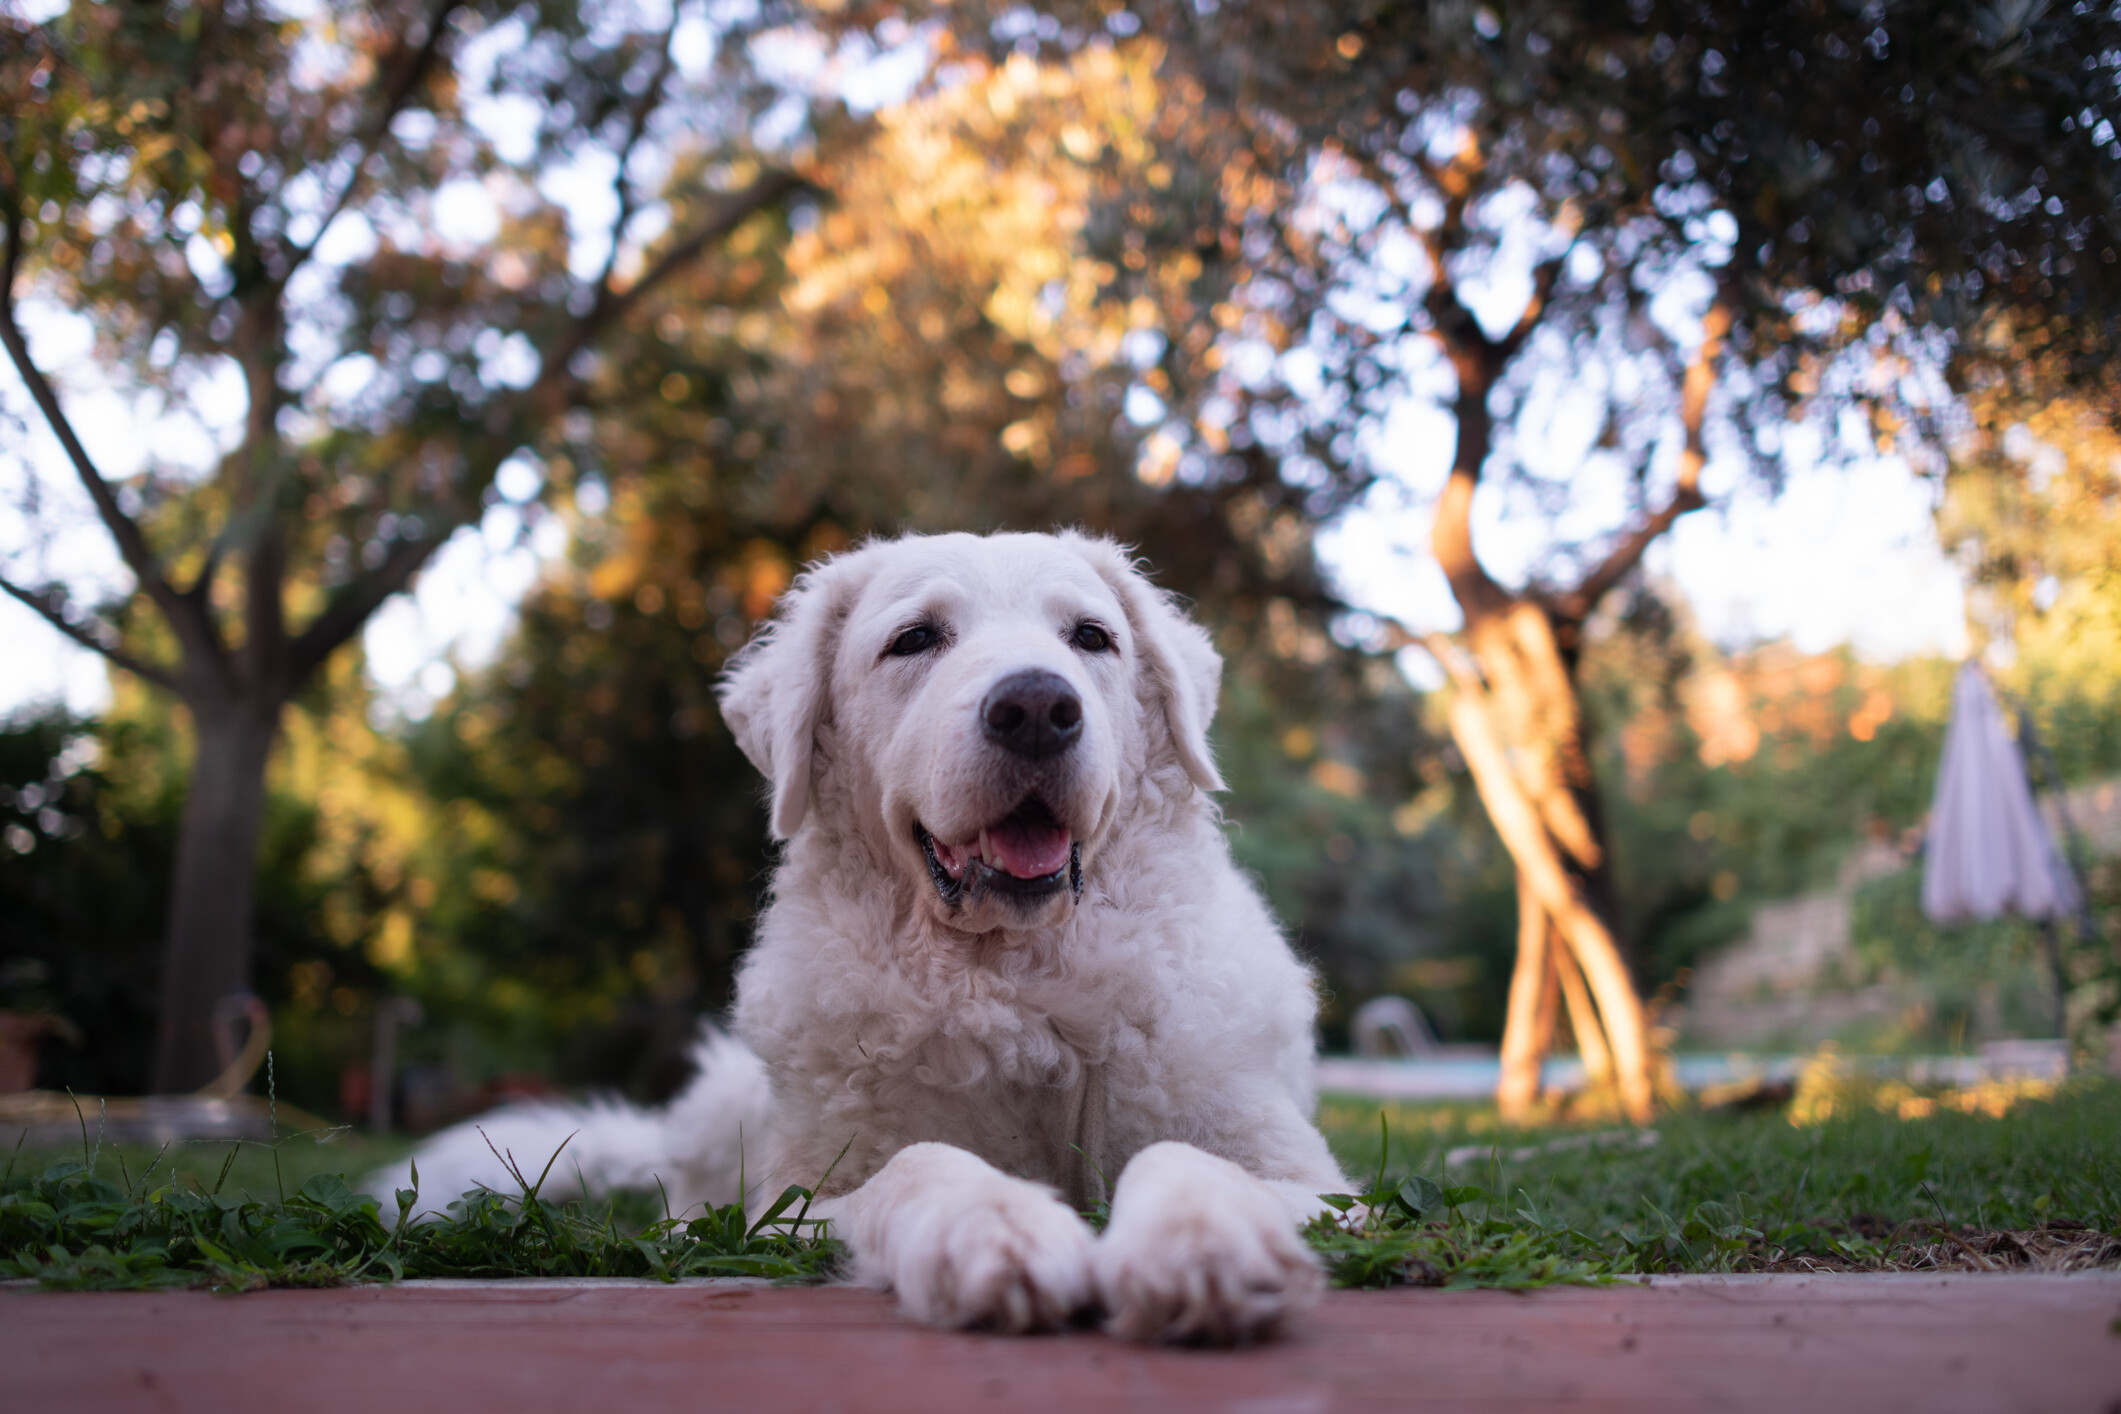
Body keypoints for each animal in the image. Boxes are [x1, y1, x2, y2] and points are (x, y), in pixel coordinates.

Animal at [373, 529, 1348, 1339]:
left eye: (1091, 638)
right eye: (915, 640)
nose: (1037, 707)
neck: (1010, 983)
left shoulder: (1321, 1187)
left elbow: (1189, 1156)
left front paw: (1203, 1239)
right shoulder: (798, 1206)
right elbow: (919, 1162)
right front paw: (991, 1230)